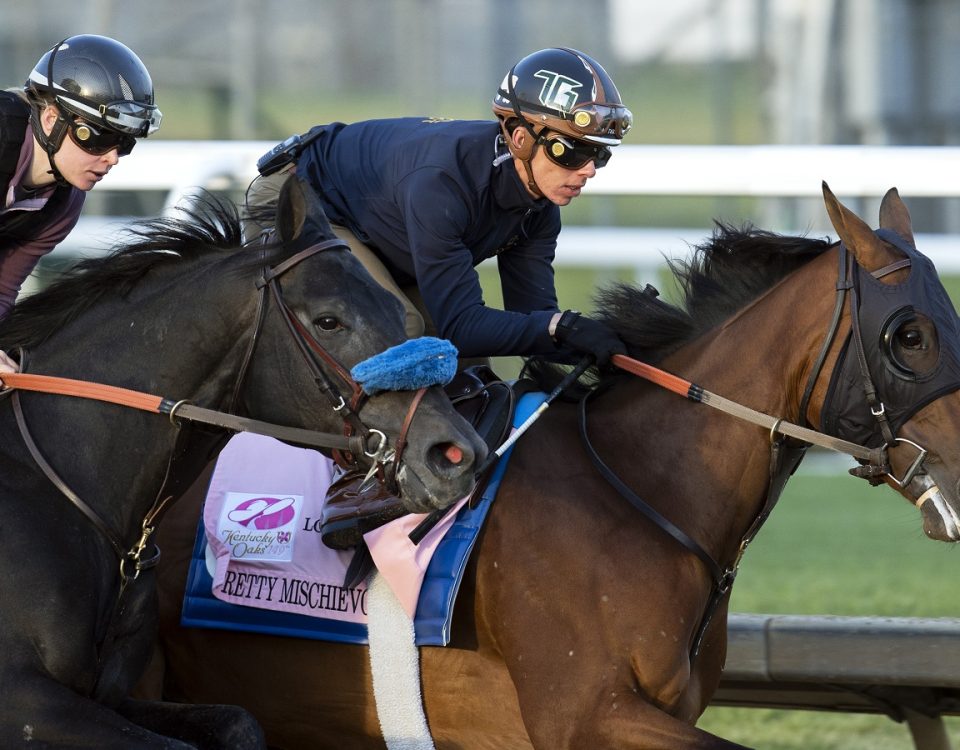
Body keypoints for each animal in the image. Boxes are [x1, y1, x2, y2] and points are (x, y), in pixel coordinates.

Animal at [0, 178, 484, 750]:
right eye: (329, 320)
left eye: (395, 307)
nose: (455, 454)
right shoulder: (28, 701)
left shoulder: (114, 697)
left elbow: (238, 722)